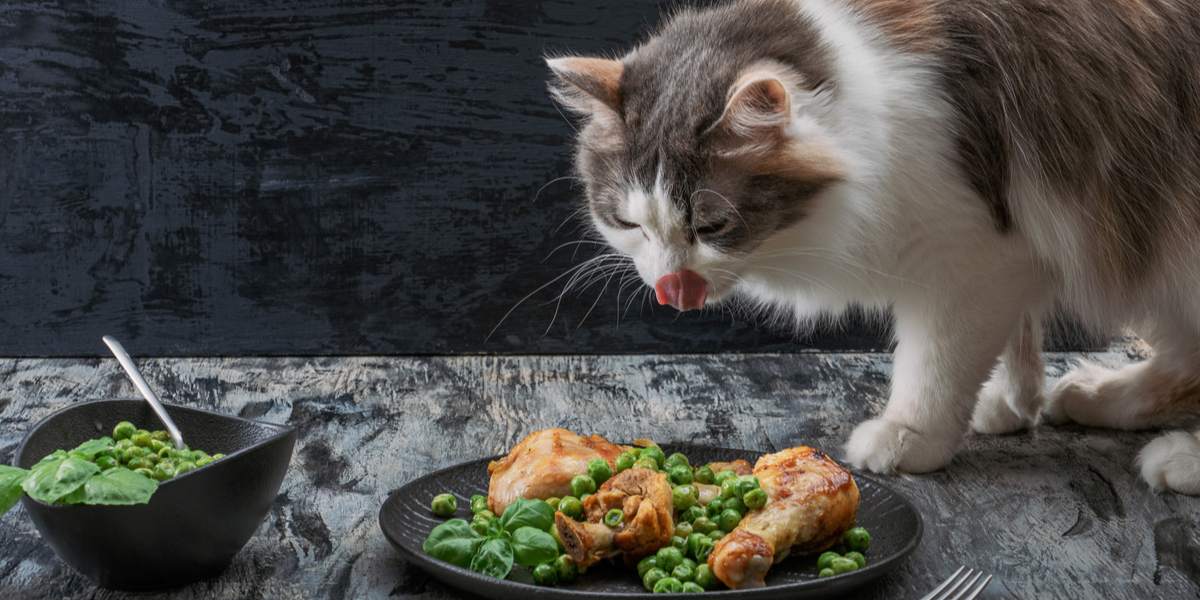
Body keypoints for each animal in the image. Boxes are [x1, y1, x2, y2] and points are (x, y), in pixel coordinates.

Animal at [544, 0, 1200, 494]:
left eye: (711, 226)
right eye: (629, 223)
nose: (668, 286)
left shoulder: (971, 255)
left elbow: (936, 363)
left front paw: (912, 435)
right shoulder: (1014, 242)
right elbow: (1019, 338)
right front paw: (1014, 405)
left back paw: (1176, 457)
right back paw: (1099, 395)